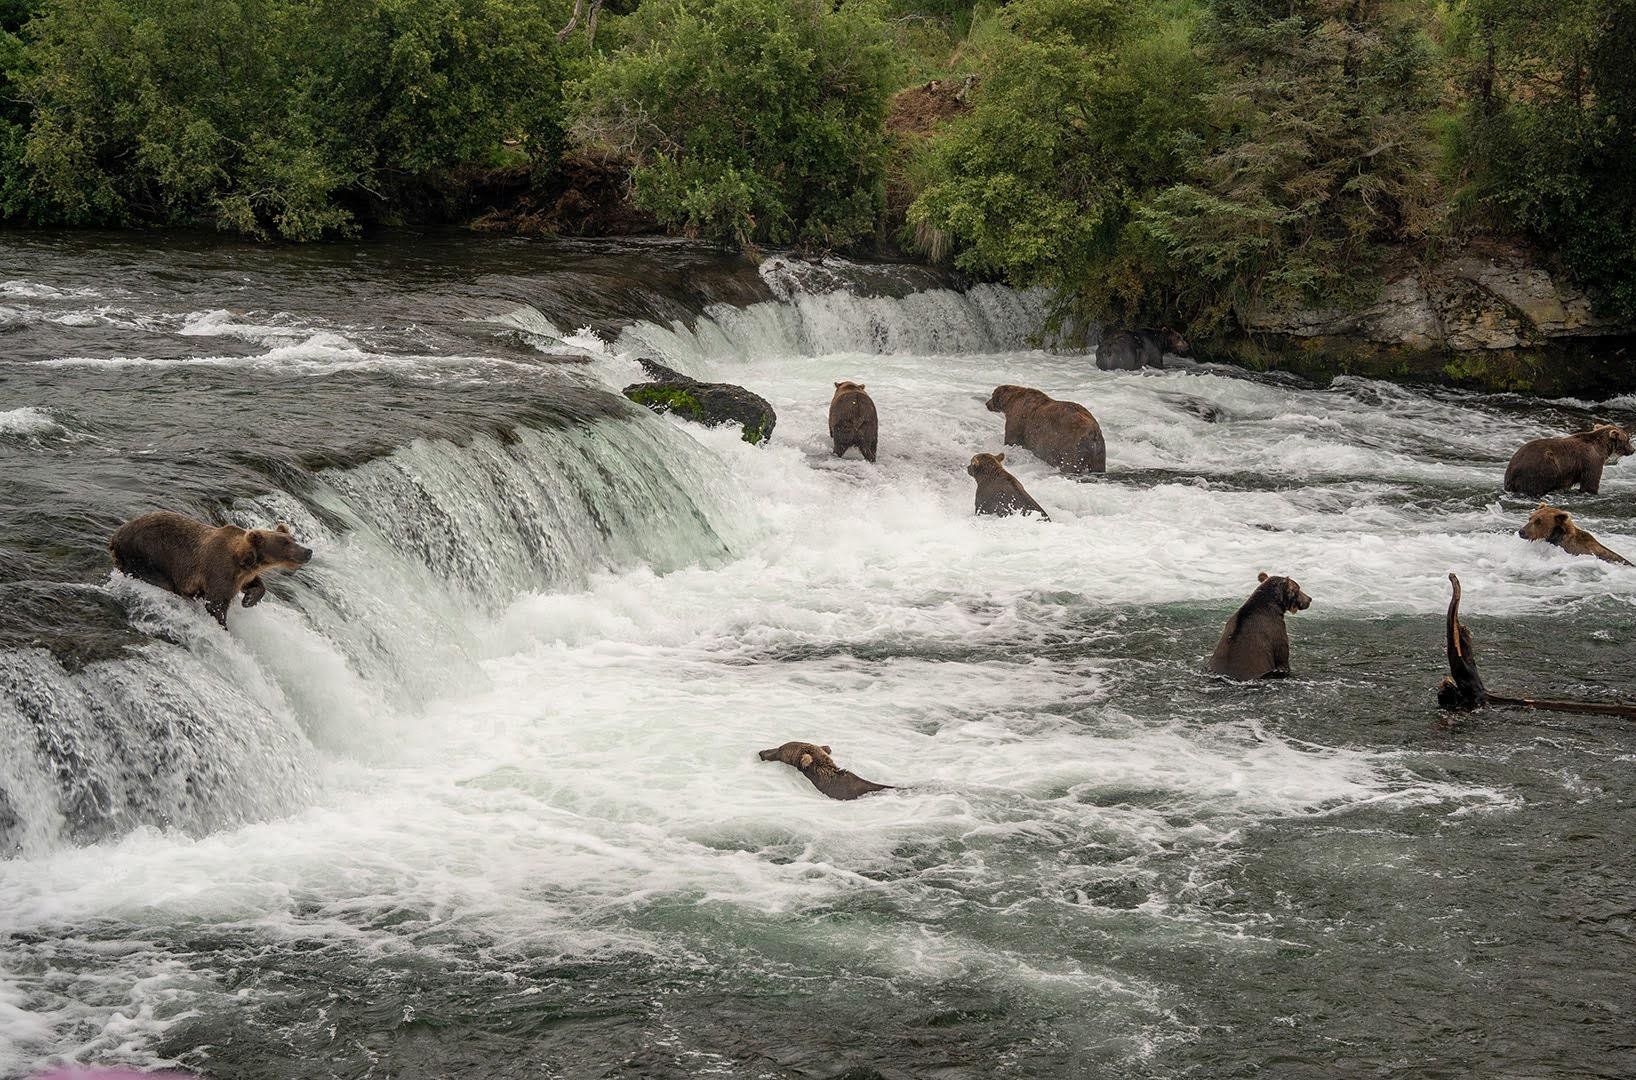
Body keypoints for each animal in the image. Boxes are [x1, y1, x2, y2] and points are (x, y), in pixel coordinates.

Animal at [110, 511, 313, 628]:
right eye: (284, 542)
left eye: (293, 539)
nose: (308, 551)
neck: (244, 560)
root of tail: (115, 536)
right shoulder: (218, 570)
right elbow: (216, 603)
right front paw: (223, 626)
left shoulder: (242, 575)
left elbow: (254, 584)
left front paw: (249, 599)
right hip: (146, 555)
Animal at [1503, 423, 1632, 497]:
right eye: (1628, 439)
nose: (1633, 450)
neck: (1601, 448)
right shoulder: (1591, 461)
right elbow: (1590, 482)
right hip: (1540, 467)